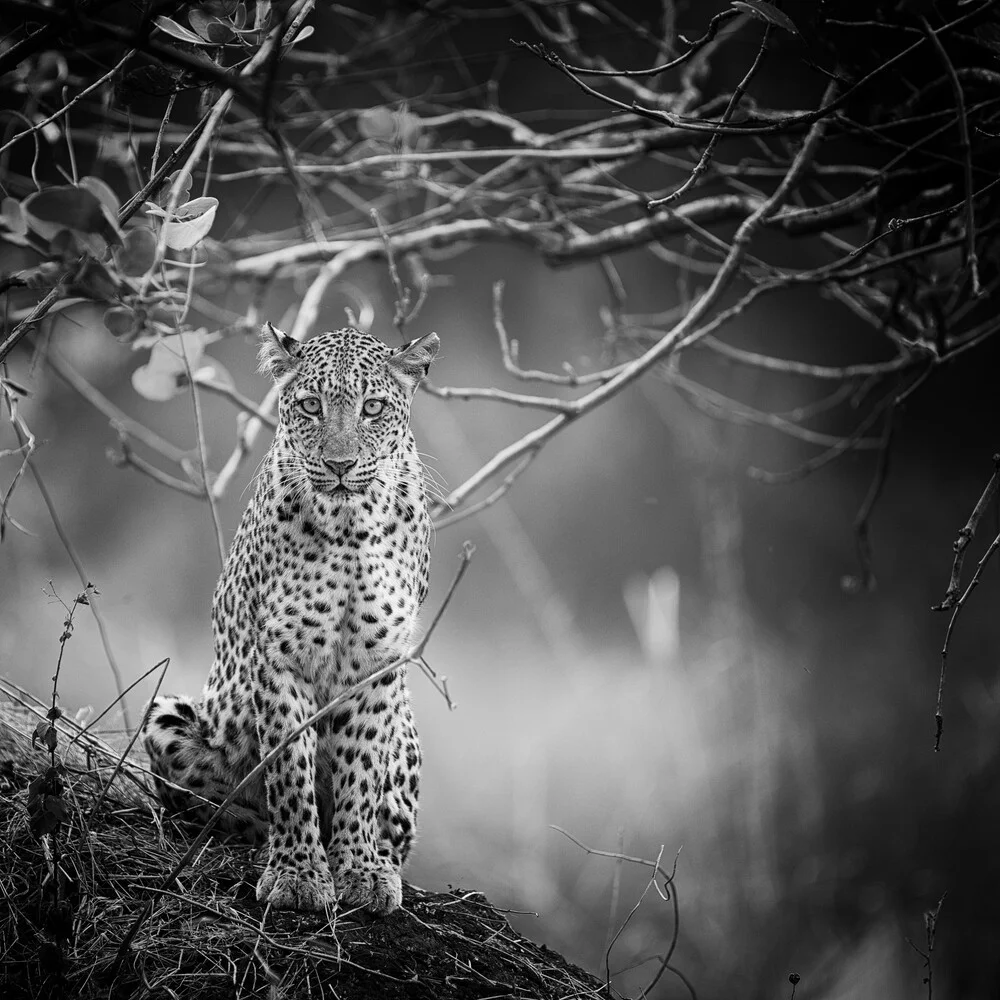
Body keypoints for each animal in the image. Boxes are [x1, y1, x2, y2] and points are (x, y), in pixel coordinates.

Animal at [143, 322, 440, 916]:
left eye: (373, 407)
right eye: (309, 406)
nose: (340, 465)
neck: (351, 528)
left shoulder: (378, 664)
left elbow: (360, 771)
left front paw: (359, 870)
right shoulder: (279, 657)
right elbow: (288, 772)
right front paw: (298, 874)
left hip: (407, 738)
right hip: (168, 716)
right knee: (222, 813)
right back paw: (261, 845)